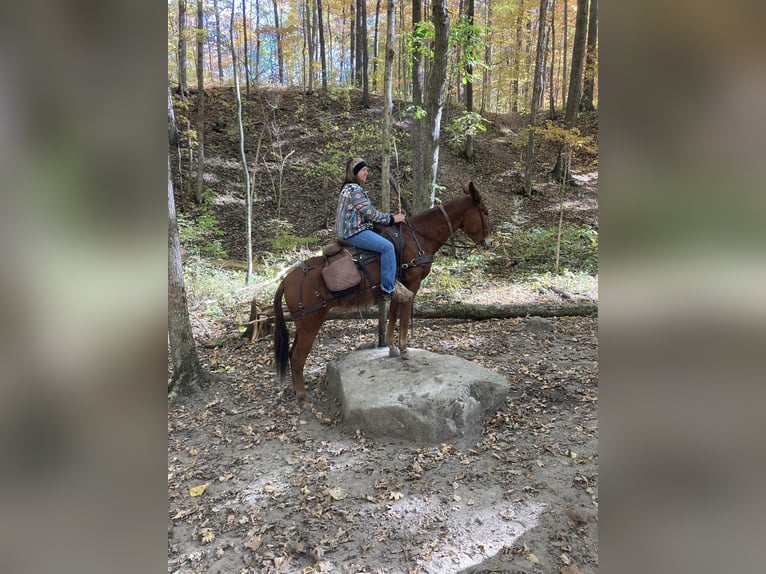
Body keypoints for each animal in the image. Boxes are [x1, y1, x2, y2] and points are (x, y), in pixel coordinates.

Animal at [274, 182, 492, 402]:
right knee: (298, 357)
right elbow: (404, 316)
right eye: (484, 212)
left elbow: (394, 313)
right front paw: (404, 349)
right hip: (310, 321)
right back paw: (302, 395)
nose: (489, 242)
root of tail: (286, 280)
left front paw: (392, 347)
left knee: (292, 354)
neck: (417, 237)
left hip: (303, 323)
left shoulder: (398, 285)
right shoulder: (412, 284)